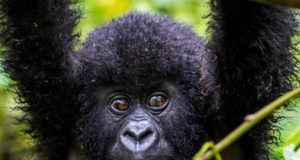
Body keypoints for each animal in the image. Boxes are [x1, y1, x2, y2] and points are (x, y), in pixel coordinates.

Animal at [0, 0, 298, 160]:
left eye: (157, 100)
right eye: (120, 104)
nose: (137, 134)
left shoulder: (237, 106)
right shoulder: (58, 104)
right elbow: (35, 20)